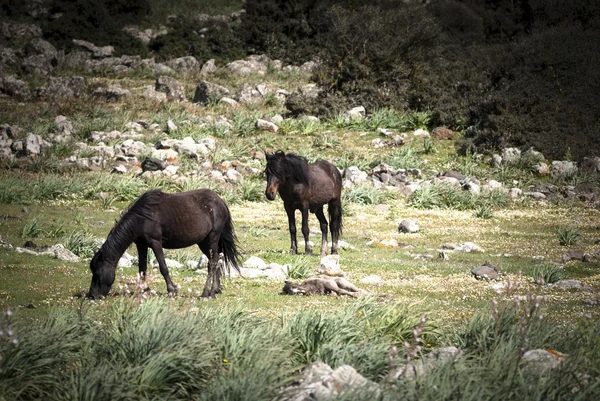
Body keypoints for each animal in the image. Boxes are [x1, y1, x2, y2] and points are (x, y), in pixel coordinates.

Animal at [87, 189, 241, 298]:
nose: (92, 296)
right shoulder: (141, 245)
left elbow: (163, 267)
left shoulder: (156, 243)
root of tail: (221, 201)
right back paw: (216, 289)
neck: (142, 218)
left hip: (212, 238)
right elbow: (142, 268)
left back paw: (207, 293)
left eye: (98, 272)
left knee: (213, 263)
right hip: (203, 243)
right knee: (216, 260)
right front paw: (143, 290)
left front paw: (172, 290)